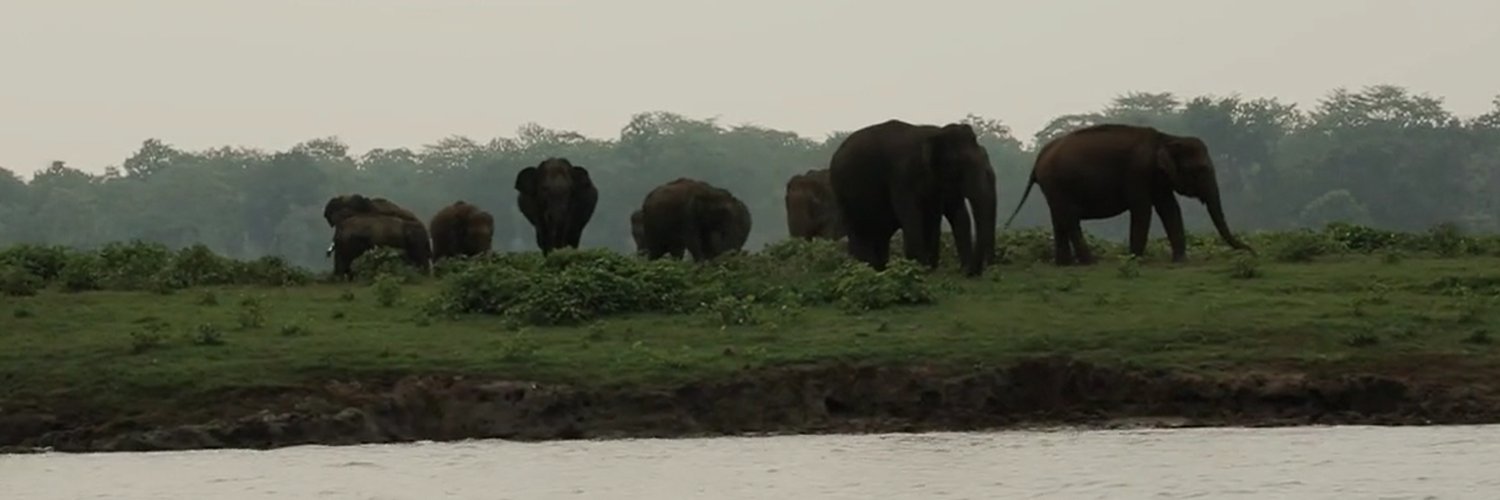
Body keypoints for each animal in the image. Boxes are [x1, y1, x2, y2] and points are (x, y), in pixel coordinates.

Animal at [827, 119, 997, 277]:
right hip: (843, 193)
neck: (936, 132)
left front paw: (928, 268)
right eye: (960, 164)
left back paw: (880, 268)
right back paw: (864, 267)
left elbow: (935, 215)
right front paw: (920, 268)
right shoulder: (901, 175)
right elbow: (911, 214)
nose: (971, 273)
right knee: (860, 230)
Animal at [1002, 123, 1254, 266]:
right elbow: (1142, 208)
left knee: (1059, 220)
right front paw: (1135, 259)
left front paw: (1181, 260)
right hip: (1058, 184)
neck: (1167, 137)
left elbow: (1169, 208)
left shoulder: (1157, 177)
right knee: (1070, 219)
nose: (1251, 250)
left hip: (1053, 187)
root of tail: (1038, 159)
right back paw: (1091, 262)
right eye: (1200, 169)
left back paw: (1064, 264)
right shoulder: (1138, 171)